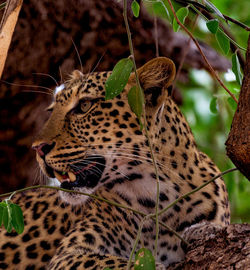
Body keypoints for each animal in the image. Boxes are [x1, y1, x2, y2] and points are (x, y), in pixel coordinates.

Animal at [0, 58, 230, 268]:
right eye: (51, 111)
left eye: (84, 105)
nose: (37, 148)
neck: (159, 198)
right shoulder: (69, 254)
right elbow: (120, 263)